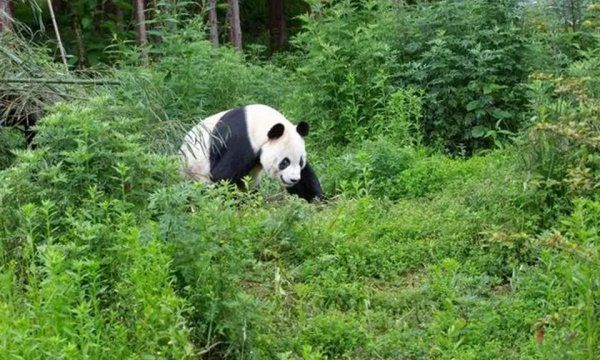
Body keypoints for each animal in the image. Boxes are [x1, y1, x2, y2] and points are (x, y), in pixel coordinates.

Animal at [179, 102, 324, 201]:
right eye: (285, 162)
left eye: (300, 162)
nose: (293, 179)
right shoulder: (241, 142)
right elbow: (222, 176)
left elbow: (306, 178)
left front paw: (318, 200)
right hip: (195, 174)